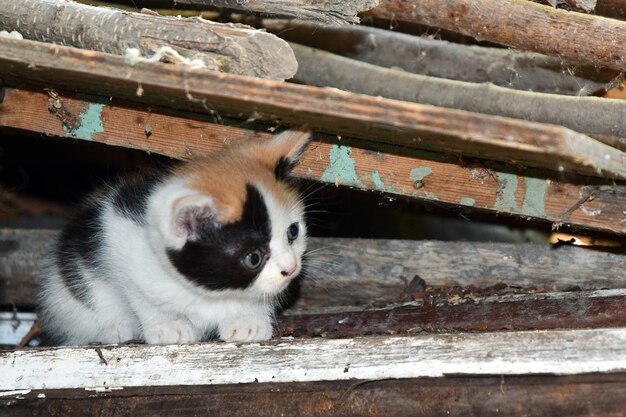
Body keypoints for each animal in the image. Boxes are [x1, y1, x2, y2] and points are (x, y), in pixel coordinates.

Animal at [38, 129, 310, 344]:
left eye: (293, 231)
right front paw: (167, 326)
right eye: (253, 258)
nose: (291, 268)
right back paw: (112, 329)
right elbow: (140, 294)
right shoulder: (118, 235)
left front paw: (248, 319)